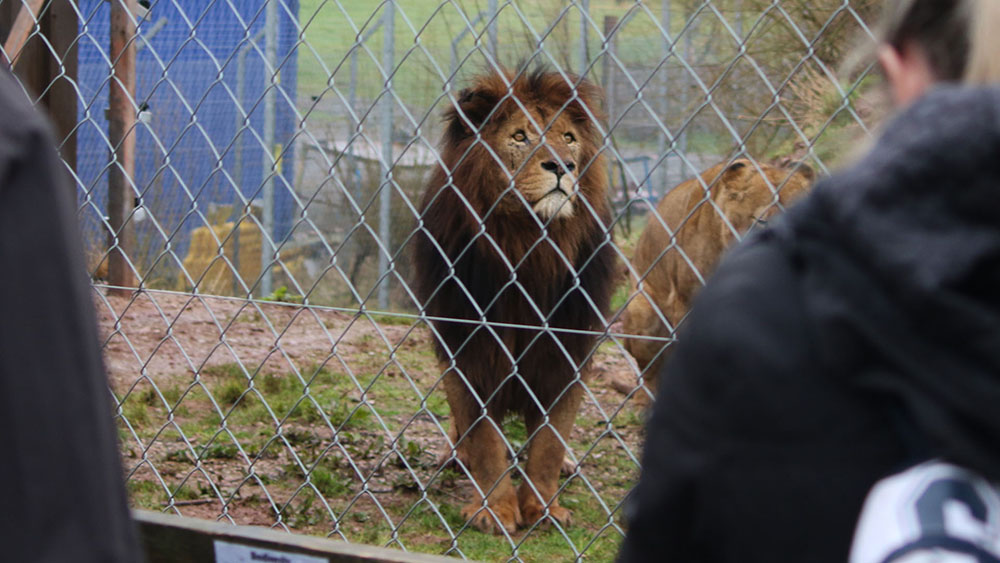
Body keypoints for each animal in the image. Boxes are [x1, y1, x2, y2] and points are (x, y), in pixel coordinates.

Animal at [412, 68, 617, 534]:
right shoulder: (469, 345)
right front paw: (495, 511)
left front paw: (544, 509)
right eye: (521, 136)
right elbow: (485, 438)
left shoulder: (567, 347)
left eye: (568, 138)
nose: (563, 167)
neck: (529, 248)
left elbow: (550, 442)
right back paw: (456, 454)